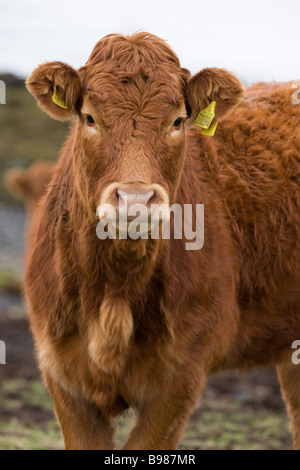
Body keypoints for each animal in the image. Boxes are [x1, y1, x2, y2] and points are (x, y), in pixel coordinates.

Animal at [24, 31, 300, 450]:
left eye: (178, 120)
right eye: (90, 117)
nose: (136, 199)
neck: (114, 292)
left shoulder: (181, 377)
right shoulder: (61, 375)